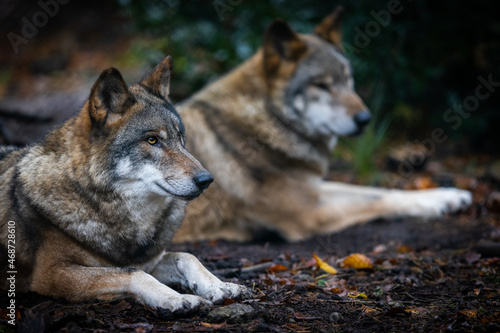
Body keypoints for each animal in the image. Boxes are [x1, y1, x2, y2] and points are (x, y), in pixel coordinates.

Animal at [0, 56, 249, 312]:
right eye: (152, 140)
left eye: (180, 138)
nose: (206, 179)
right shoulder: (52, 273)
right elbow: (133, 273)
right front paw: (178, 298)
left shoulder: (149, 260)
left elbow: (186, 256)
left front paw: (219, 286)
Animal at [173, 7, 472, 241]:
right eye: (321, 85)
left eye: (348, 80)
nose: (365, 119)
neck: (269, 121)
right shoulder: (309, 213)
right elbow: (381, 200)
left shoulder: (313, 189)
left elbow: (377, 190)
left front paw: (449, 196)